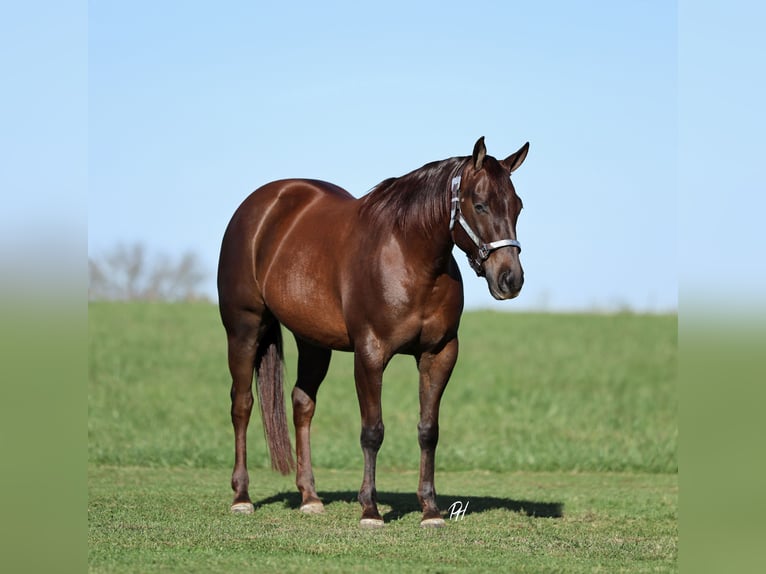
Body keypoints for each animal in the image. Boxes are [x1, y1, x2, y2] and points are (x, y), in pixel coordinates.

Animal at [217, 137, 529, 527]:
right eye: (480, 204)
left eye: (518, 206)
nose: (510, 279)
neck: (410, 258)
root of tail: (260, 205)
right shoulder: (370, 353)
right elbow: (372, 431)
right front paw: (370, 509)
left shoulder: (440, 353)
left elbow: (428, 431)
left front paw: (430, 510)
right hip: (243, 329)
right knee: (241, 404)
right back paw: (241, 496)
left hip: (313, 342)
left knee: (302, 404)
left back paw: (310, 496)